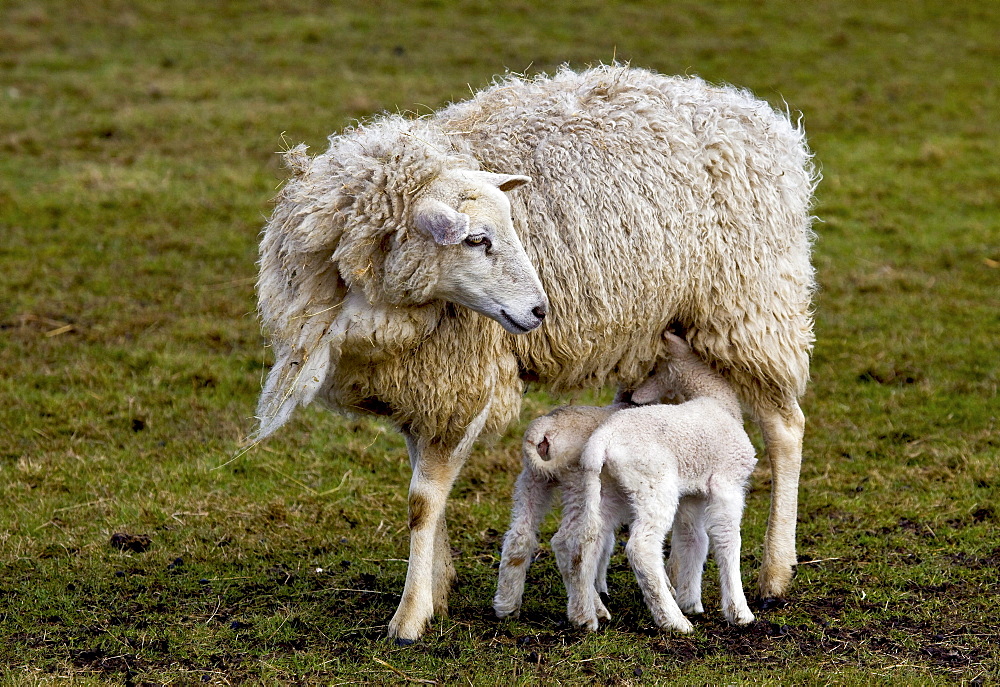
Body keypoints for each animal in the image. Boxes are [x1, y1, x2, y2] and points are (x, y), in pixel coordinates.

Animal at [492, 334, 756, 636]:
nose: (633, 394)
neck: (716, 400)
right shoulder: (728, 482)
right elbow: (727, 539)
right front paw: (739, 611)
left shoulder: (692, 493)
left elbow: (694, 539)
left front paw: (691, 600)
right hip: (651, 484)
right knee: (638, 547)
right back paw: (671, 620)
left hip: (555, 482)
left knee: (552, 537)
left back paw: (531, 608)